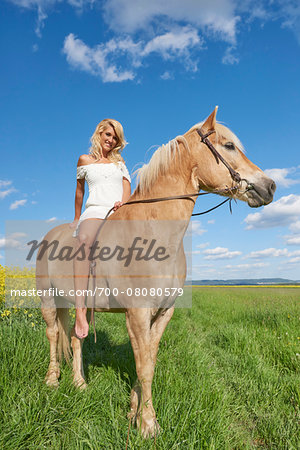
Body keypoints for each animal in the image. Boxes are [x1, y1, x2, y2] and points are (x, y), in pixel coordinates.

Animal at [36, 107, 276, 438]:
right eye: (228, 146)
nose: (270, 186)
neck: (154, 234)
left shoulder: (162, 313)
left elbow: (147, 359)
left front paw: (134, 412)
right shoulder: (137, 313)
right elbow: (144, 365)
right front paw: (148, 424)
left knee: (74, 336)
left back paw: (80, 384)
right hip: (48, 299)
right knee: (53, 333)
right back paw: (52, 380)